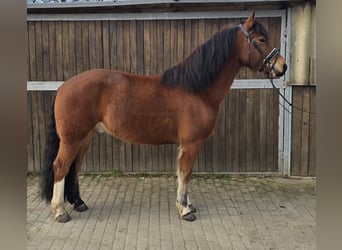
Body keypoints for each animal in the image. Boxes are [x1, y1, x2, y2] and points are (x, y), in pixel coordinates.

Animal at [40, 13, 286, 223]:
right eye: (262, 39)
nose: (282, 67)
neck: (196, 89)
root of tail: (64, 87)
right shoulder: (191, 143)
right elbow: (185, 173)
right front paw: (184, 209)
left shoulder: (187, 145)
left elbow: (184, 174)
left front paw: (188, 204)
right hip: (72, 139)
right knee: (61, 166)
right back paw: (60, 211)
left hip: (85, 138)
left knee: (74, 168)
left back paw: (78, 203)